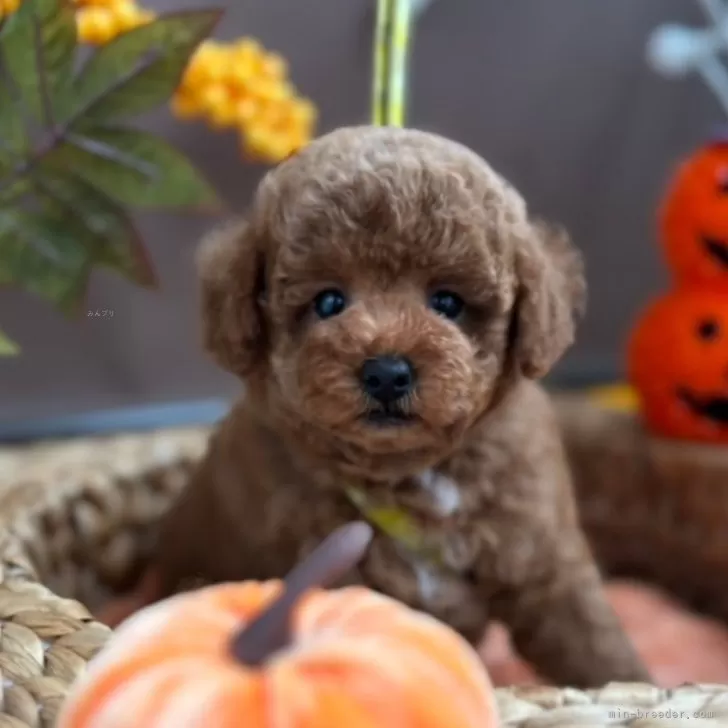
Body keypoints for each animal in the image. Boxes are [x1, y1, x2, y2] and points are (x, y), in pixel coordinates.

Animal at [134, 126, 644, 688]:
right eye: (329, 302)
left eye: (447, 302)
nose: (386, 372)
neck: (407, 475)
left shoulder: (537, 547)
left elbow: (588, 636)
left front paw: (637, 683)